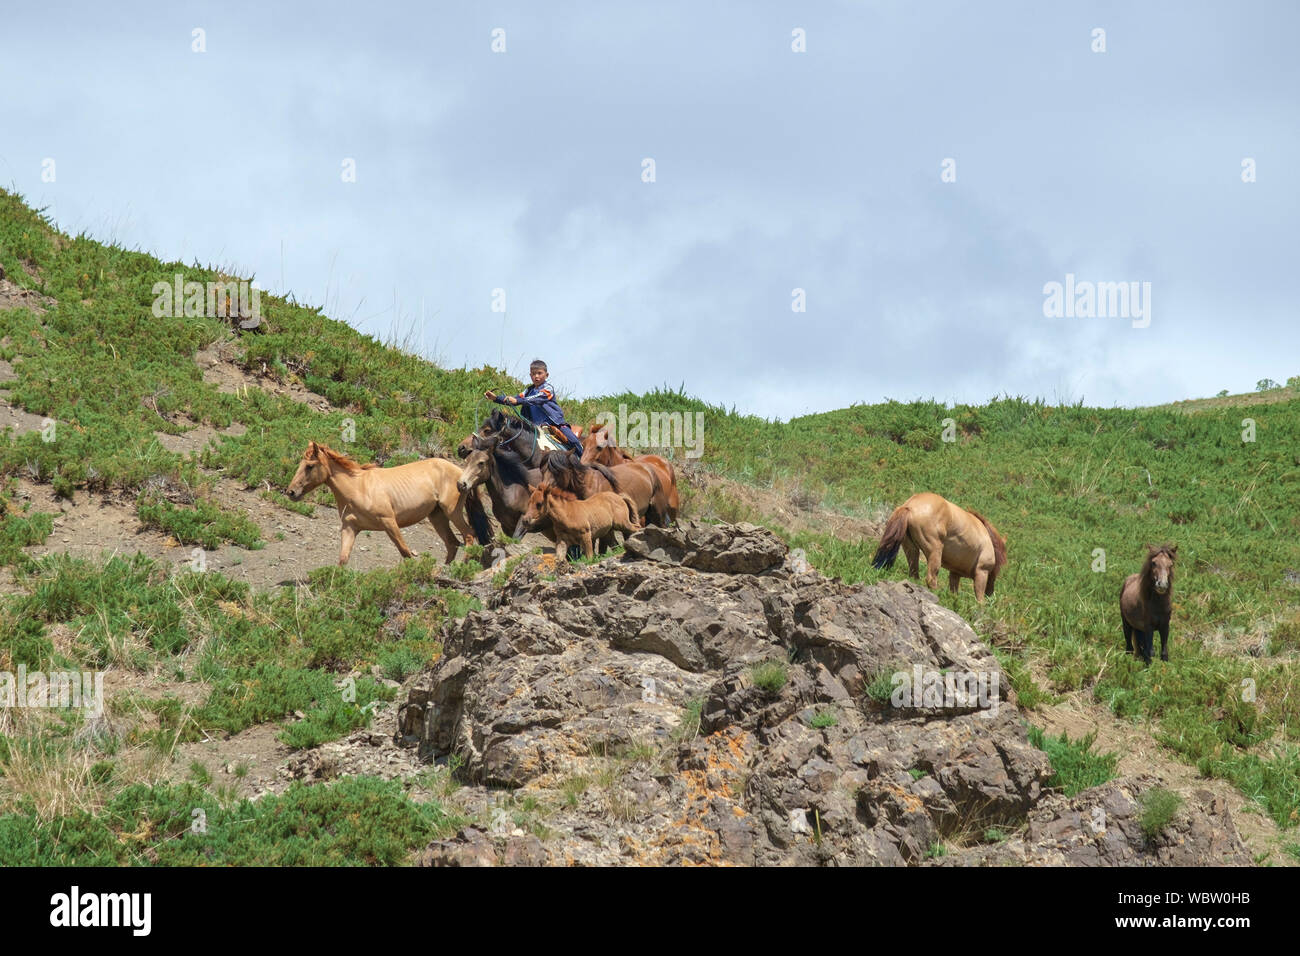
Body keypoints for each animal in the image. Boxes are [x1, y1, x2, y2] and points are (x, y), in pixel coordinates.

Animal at [286, 441, 491, 566]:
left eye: (310, 466)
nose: (291, 492)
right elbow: (343, 559)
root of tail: (462, 476)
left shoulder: (389, 522)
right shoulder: (350, 528)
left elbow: (405, 551)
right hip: (437, 516)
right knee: (452, 543)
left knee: (469, 535)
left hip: (451, 512)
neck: (358, 487)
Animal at [871, 492, 1007, 602]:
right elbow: (979, 599)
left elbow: (954, 593)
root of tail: (910, 505)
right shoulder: (981, 572)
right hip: (935, 551)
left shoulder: (955, 574)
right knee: (931, 578)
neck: (987, 537)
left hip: (911, 549)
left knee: (914, 573)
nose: (990, 594)